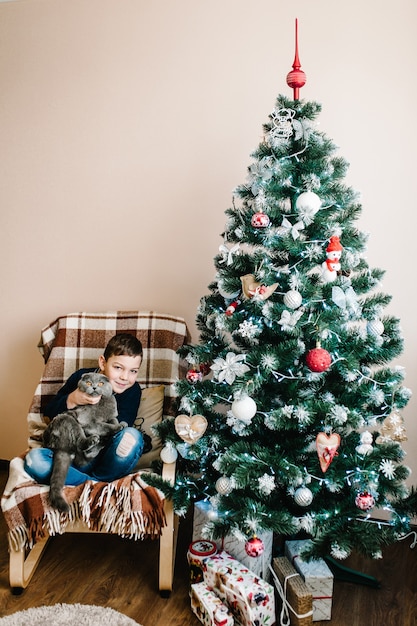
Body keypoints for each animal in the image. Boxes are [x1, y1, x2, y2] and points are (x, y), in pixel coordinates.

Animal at [43, 370, 127, 512]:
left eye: (101, 383)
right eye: (88, 382)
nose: (94, 387)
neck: (101, 403)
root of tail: (61, 447)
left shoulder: (111, 416)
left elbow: (113, 420)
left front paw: (121, 424)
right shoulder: (89, 422)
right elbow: (104, 426)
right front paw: (118, 427)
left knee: (83, 459)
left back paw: (99, 443)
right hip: (69, 420)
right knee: (80, 443)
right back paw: (93, 440)